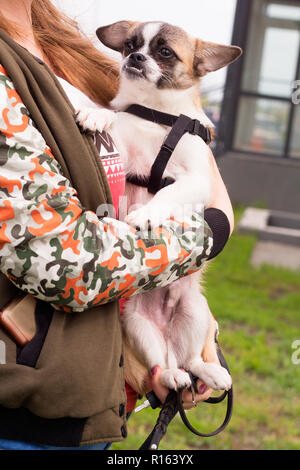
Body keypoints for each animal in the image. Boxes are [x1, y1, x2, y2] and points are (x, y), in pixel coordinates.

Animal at [77, 22, 241, 394]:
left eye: (165, 52)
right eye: (130, 44)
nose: (136, 57)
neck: (155, 114)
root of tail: (168, 339)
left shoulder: (197, 180)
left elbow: (169, 193)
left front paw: (148, 213)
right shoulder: (121, 154)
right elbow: (113, 116)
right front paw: (97, 112)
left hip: (194, 310)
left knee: (192, 360)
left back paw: (212, 372)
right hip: (137, 325)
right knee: (163, 369)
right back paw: (173, 375)